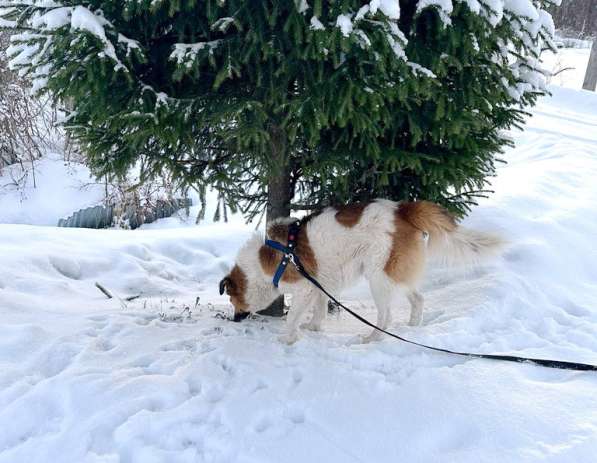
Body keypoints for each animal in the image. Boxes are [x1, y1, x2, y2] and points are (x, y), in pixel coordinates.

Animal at [217, 199, 500, 344]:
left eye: (232, 299)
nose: (235, 319)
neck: (265, 262)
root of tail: (402, 209)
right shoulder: (320, 284)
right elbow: (319, 310)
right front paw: (313, 328)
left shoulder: (306, 286)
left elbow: (292, 317)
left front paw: (287, 339)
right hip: (394, 274)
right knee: (418, 299)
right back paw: (412, 327)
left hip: (378, 277)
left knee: (385, 315)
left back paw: (373, 338)